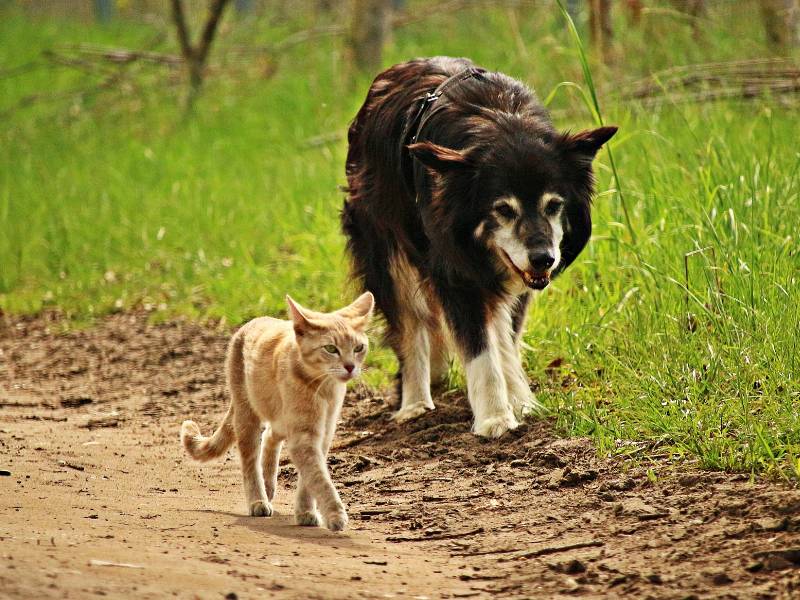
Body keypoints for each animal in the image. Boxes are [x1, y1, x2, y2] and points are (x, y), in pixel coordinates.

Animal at [180, 292, 374, 532]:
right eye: (331, 349)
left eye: (358, 348)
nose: (350, 367)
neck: (325, 388)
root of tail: (254, 321)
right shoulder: (304, 436)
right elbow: (319, 477)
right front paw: (335, 513)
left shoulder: (323, 434)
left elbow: (309, 478)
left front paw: (306, 511)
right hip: (247, 416)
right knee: (250, 461)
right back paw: (258, 499)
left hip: (280, 420)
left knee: (270, 436)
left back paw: (269, 484)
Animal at [340, 57, 616, 436]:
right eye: (503, 209)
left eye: (553, 205)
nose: (544, 259)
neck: (500, 120)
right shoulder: (457, 272)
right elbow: (479, 348)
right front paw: (495, 418)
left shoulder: (513, 275)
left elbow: (505, 339)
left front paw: (520, 402)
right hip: (387, 254)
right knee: (411, 326)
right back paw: (415, 403)